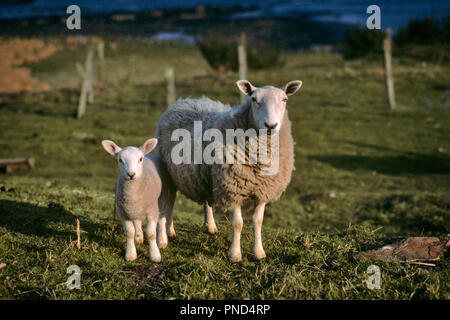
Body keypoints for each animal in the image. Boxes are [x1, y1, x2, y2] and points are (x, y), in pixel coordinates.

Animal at [155, 79, 302, 262]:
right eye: (254, 99)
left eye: (284, 99)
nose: (270, 126)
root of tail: (182, 101)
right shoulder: (232, 188)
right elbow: (238, 223)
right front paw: (235, 254)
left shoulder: (263, 190)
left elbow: (258, 221)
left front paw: (259, 252)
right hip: (167, 173)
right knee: (167, 205)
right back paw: (164, 237)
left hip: (204, 178)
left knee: (203, 200)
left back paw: (209, 227)